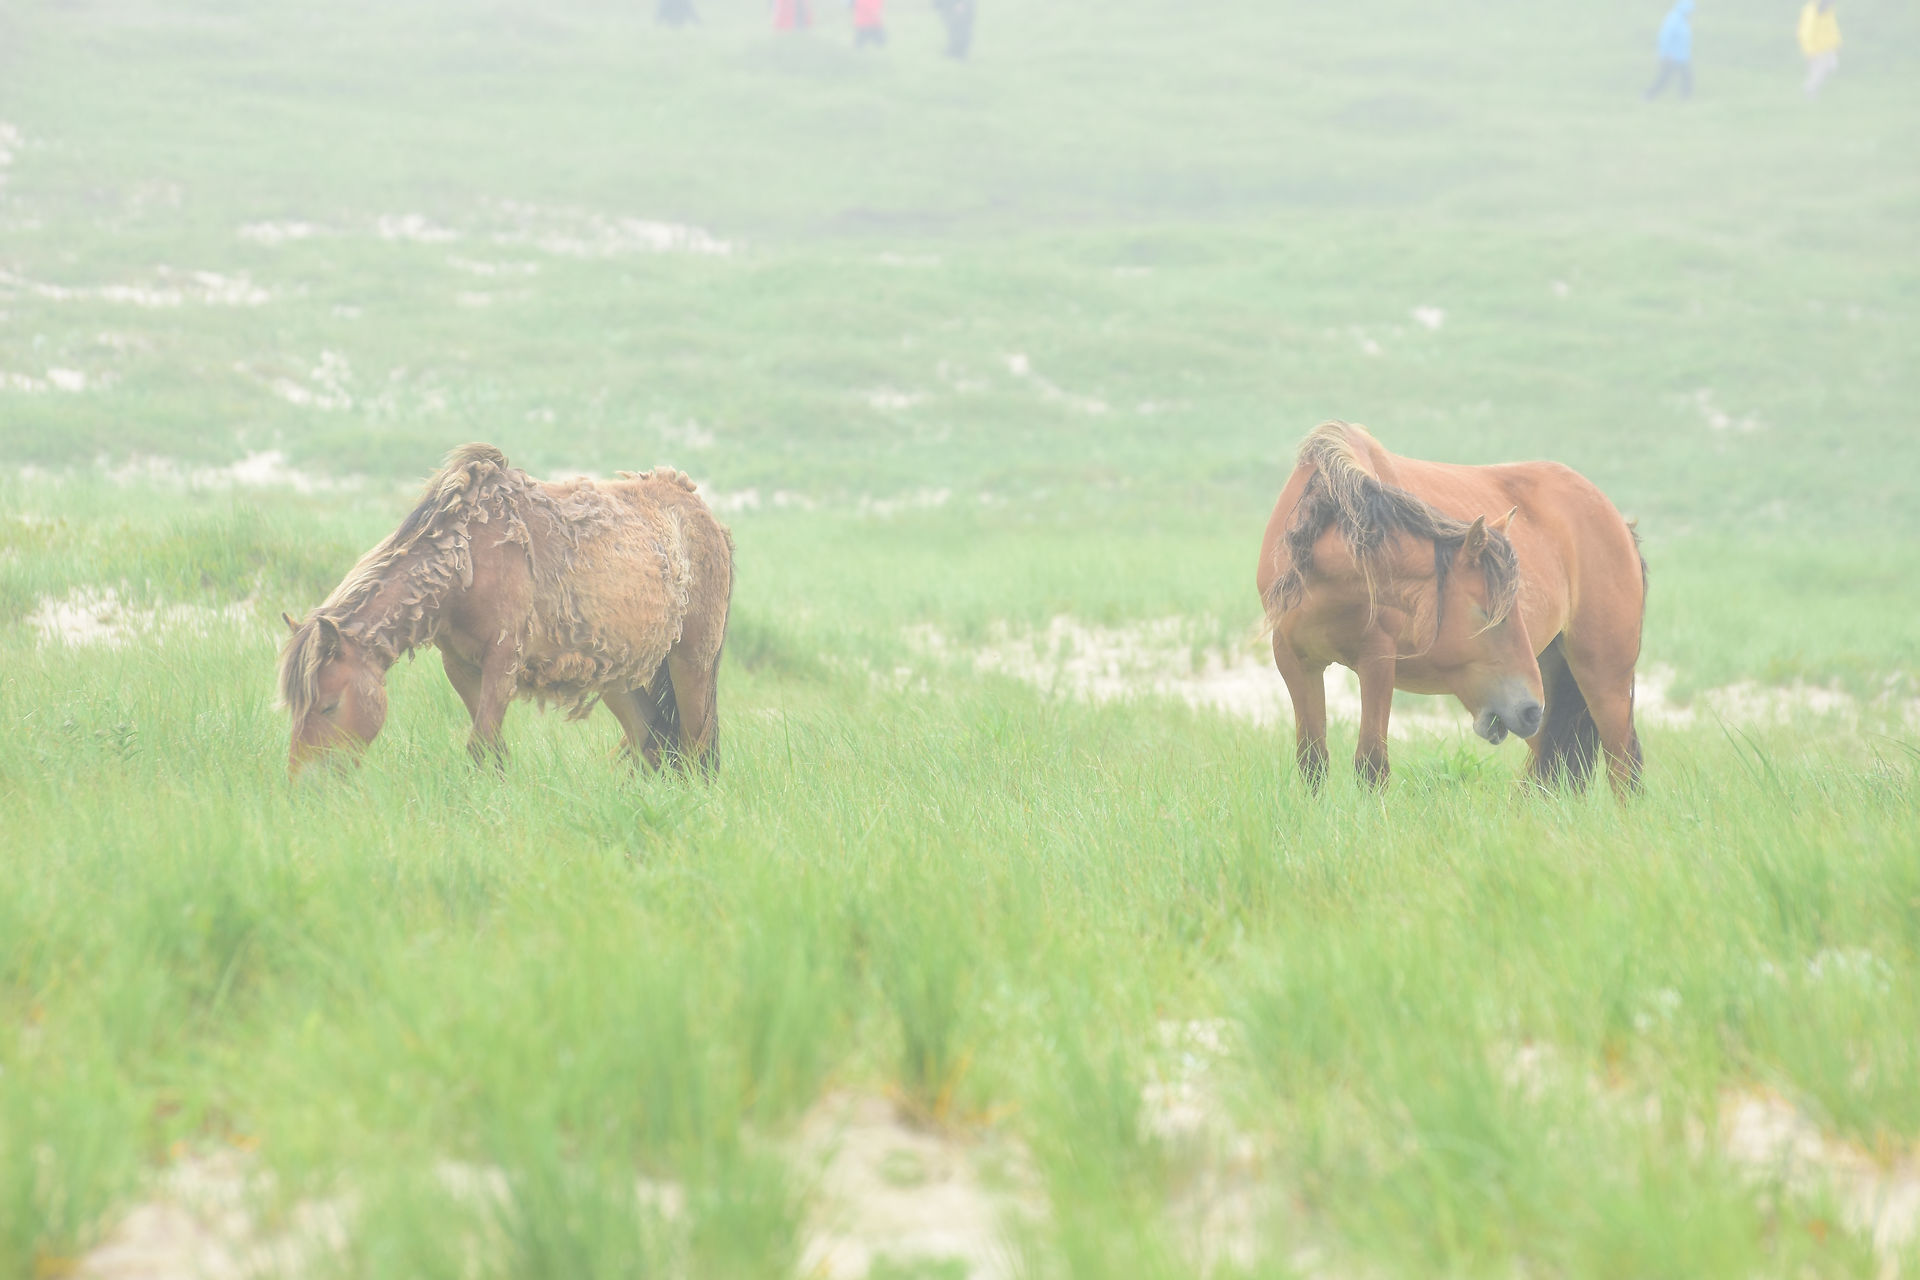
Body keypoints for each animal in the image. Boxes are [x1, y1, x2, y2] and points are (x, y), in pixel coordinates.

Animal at [279, 444, 734, 778]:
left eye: (329, 705)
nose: (305, 784)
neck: (467, 557)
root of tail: (707, 517)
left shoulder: (503, 662)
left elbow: (481, 744)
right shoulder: (462, 667)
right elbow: (491, 748)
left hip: (692, 663)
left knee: (694, 746)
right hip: (617, 679)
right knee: (651, 743)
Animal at [1256, 422, 1646, 795]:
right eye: (1487, 613)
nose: (1529, 708)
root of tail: (1619, 524)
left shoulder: (1377, 663)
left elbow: (1371, 765)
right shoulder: (1295, 663)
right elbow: (1312, 763)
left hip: (1603, 684)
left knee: (1623, 769)